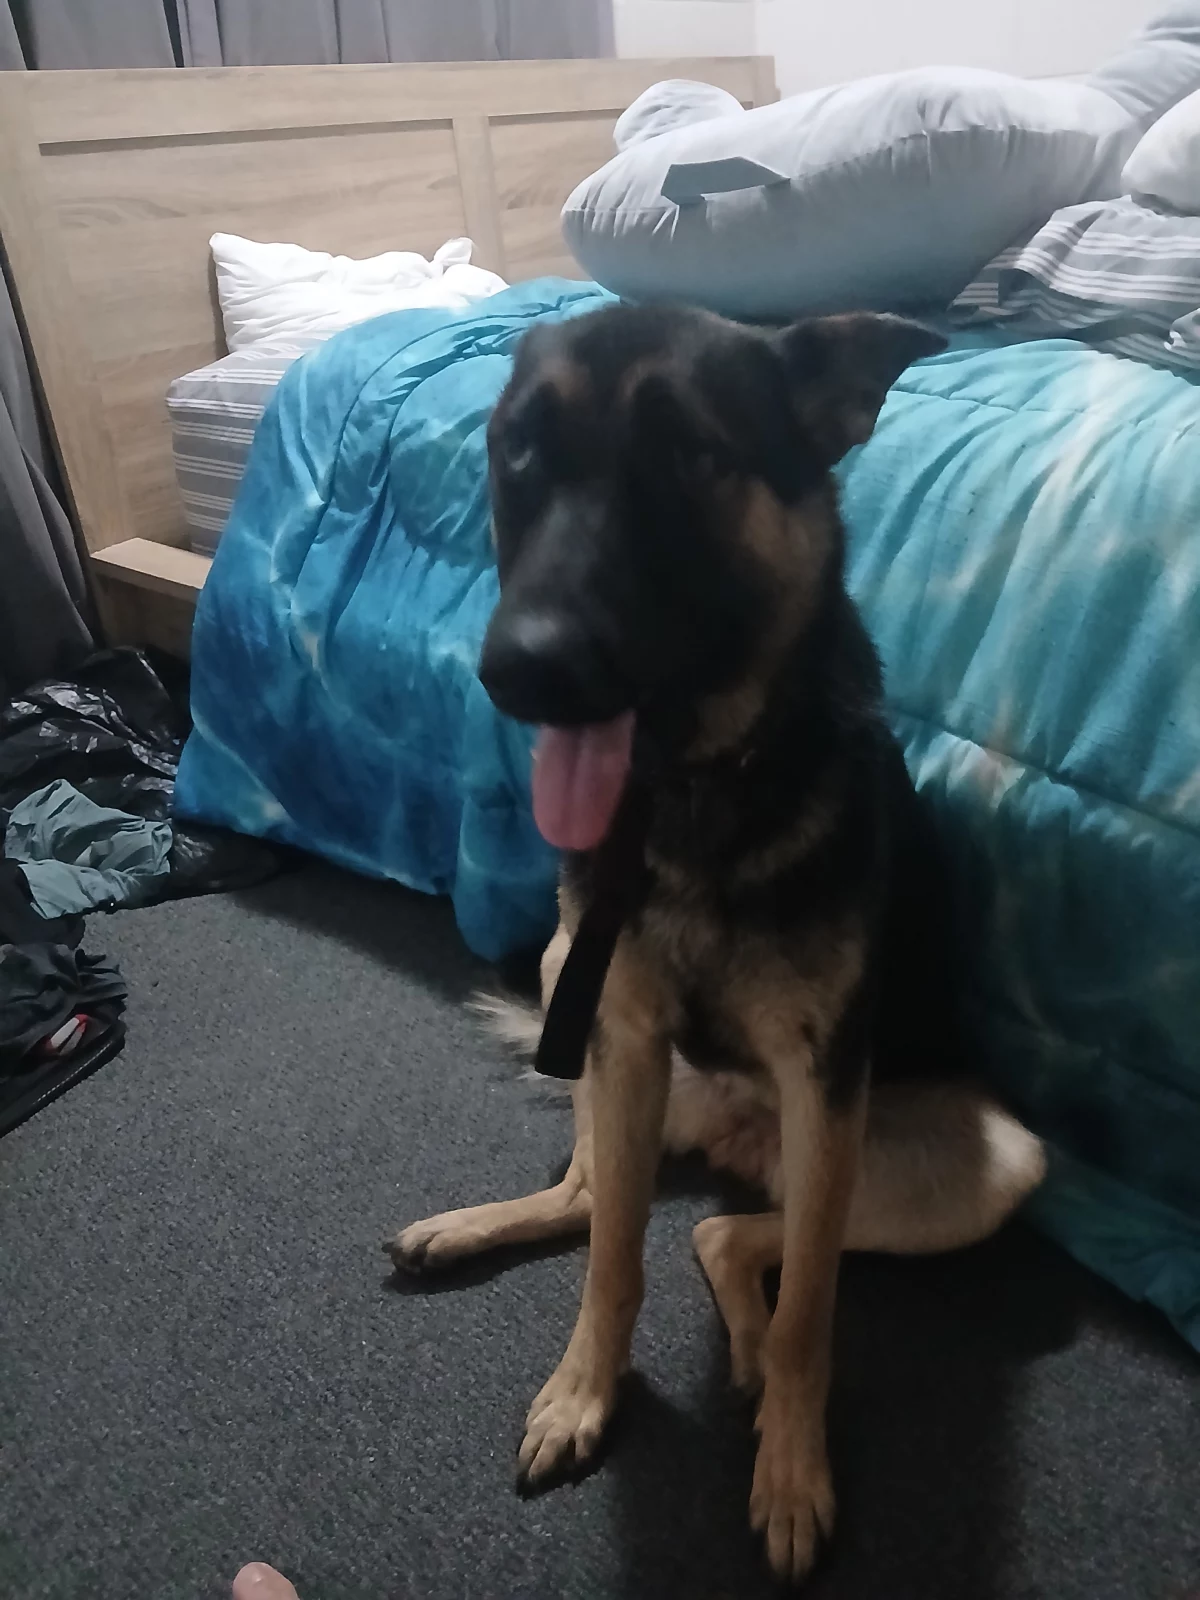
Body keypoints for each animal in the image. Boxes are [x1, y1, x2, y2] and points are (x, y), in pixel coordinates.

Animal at [386, 303, 1046, 1583]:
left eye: (693, 455)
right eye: (516, 452)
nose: (519, 668)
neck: (693, 791)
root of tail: (729, 1130)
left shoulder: (825, 1087)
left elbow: (809, 1317)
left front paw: (790, 1467)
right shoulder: (623, 1031)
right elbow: (614, 1262)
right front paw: (584, 1391)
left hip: (969, 1162)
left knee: (736, 1236)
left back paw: (742, 1337)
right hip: (583, 1004)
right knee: (605, 1202)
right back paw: (470, 1229)